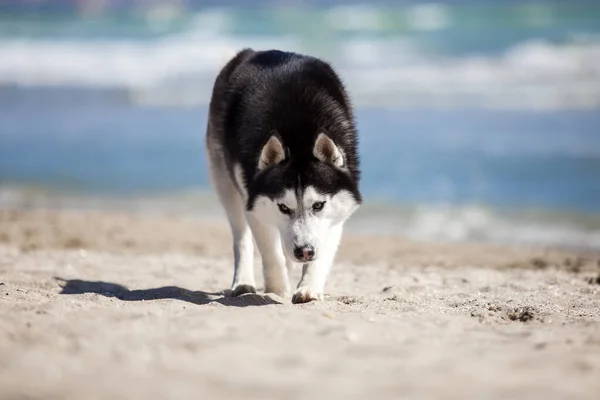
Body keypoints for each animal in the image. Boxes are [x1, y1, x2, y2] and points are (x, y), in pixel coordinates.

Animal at [204, 48, 364, 304]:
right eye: (283, 207)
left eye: (318, 205)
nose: (304, 252)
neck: (297, 136)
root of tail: (252, 52)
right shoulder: (254, 201)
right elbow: (270, 252)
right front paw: (277, 289)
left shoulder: (336, 210)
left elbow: (320, 254)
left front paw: (308, 287)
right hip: (224, 182)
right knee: (241, 238)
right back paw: (243, 281)